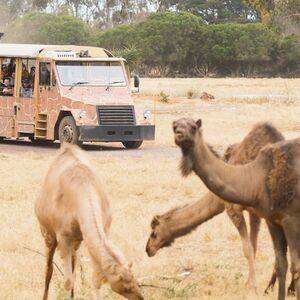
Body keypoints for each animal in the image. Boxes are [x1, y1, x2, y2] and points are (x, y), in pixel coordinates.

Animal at [35, 143, 143, 300]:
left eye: (135, 280)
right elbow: (67, 280)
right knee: (48, 269)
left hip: (76, 241)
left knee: (74, 265)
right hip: (47, 234)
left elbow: (95, 278)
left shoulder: (101, 230)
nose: (140, 297)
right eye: (126, 288)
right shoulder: (63, 236)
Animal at [146, 122, 294, 292]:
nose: (148, 249)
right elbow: (255, 246)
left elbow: (248, 248)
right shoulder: (255, 213)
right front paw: (261, 285)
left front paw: (250, 285)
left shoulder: (233, 208)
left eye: (154, 233)